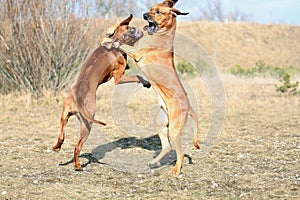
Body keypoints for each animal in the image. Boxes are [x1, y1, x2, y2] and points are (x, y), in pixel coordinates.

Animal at [53, 14, 150, 171]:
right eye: (131, 30)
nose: (140, 31)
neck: (114, 44)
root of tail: (78, 99)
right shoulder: (119, 78)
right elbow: (137, 76)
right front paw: (146, 82)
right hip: (87, 124)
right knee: (77, 147)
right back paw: (78, 166)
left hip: (64, 115)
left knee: (62, 135)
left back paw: (57, 146)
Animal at [102, 0, 200, 175]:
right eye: (152, 8)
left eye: (159, 12)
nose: (144, 15)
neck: (161, 36)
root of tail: (188, 107)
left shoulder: (137, 52)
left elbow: (123, 46)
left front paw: (109, 41)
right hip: (160, 122)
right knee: (167, 147)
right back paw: (154, 162)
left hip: (174, 129)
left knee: (179, 152)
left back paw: (176, 170)